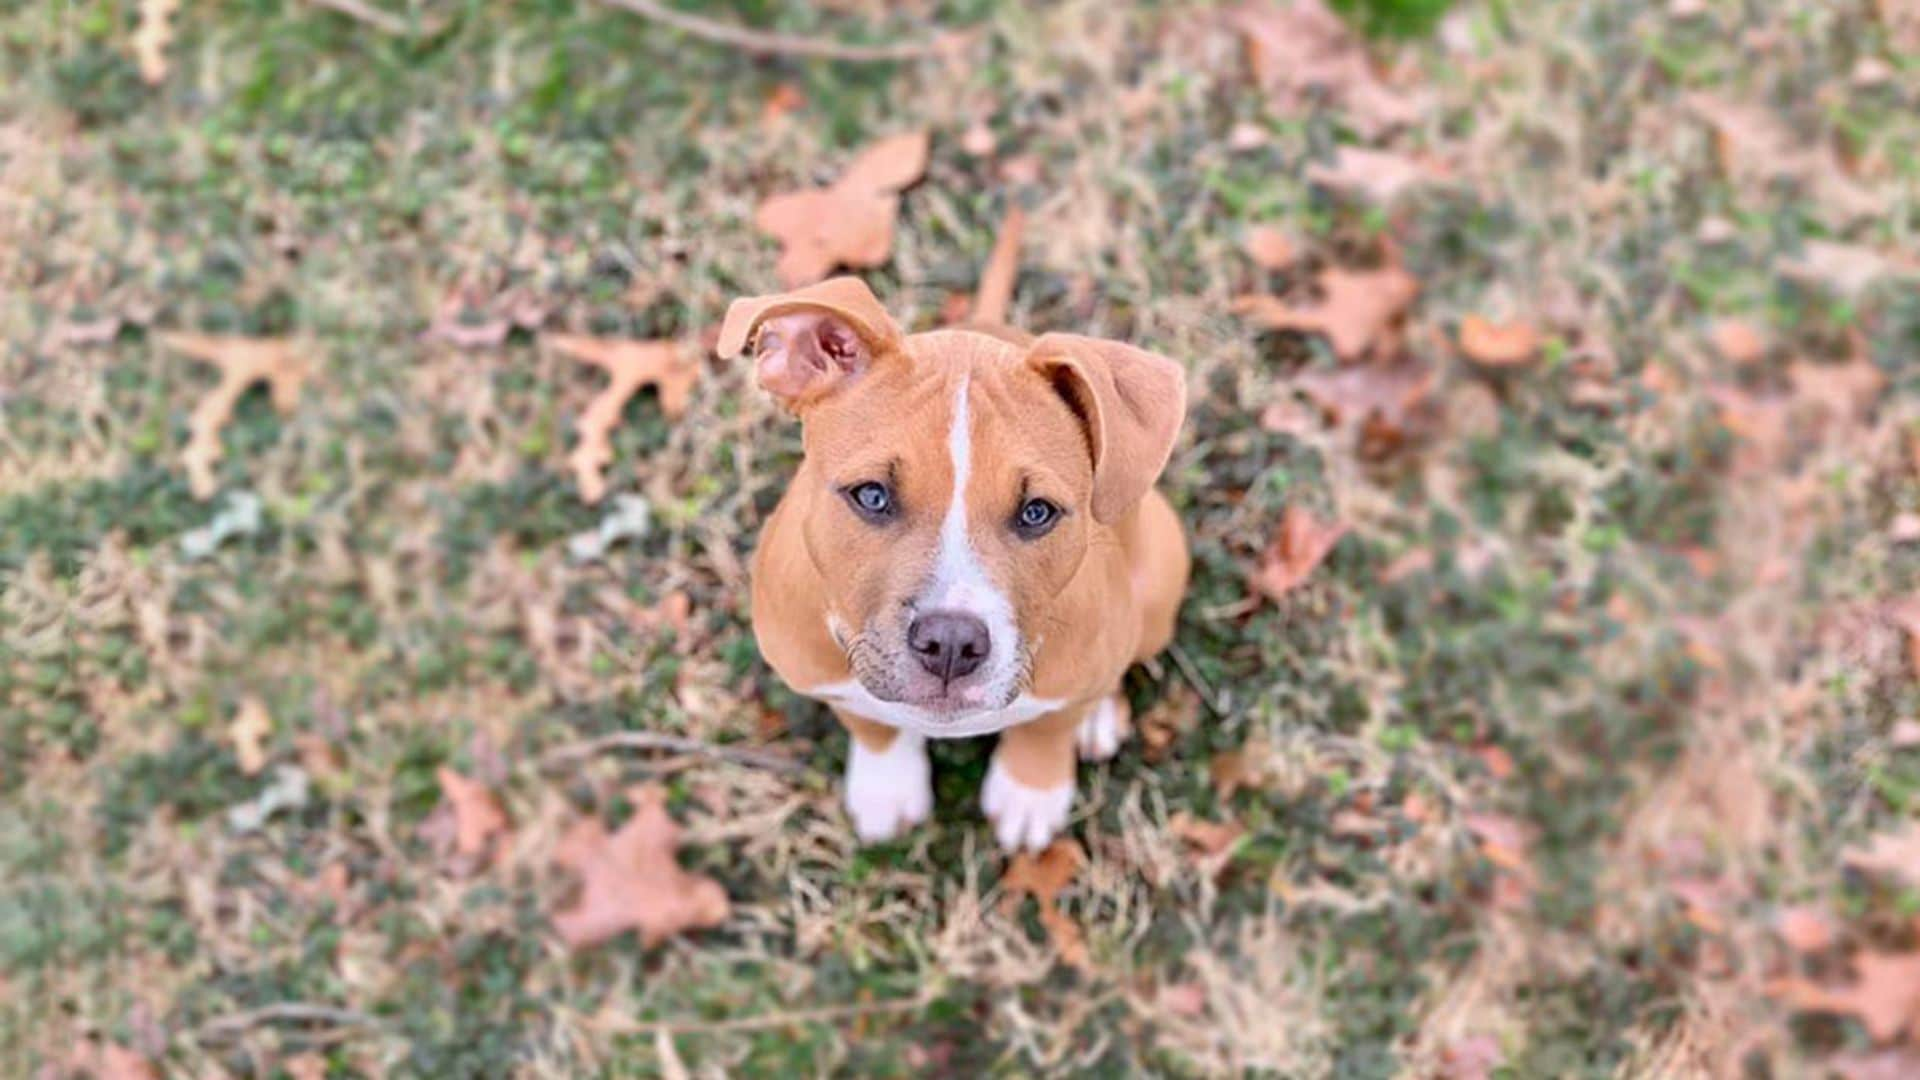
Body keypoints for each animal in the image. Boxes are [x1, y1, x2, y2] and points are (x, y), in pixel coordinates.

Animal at [721, 274, 1182, 849]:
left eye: (1036, 512)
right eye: (871, 495)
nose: (951, 644)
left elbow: (1049, 726)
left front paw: (1030, 791)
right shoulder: (819, 675)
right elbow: (871, 724)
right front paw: (887, 786)